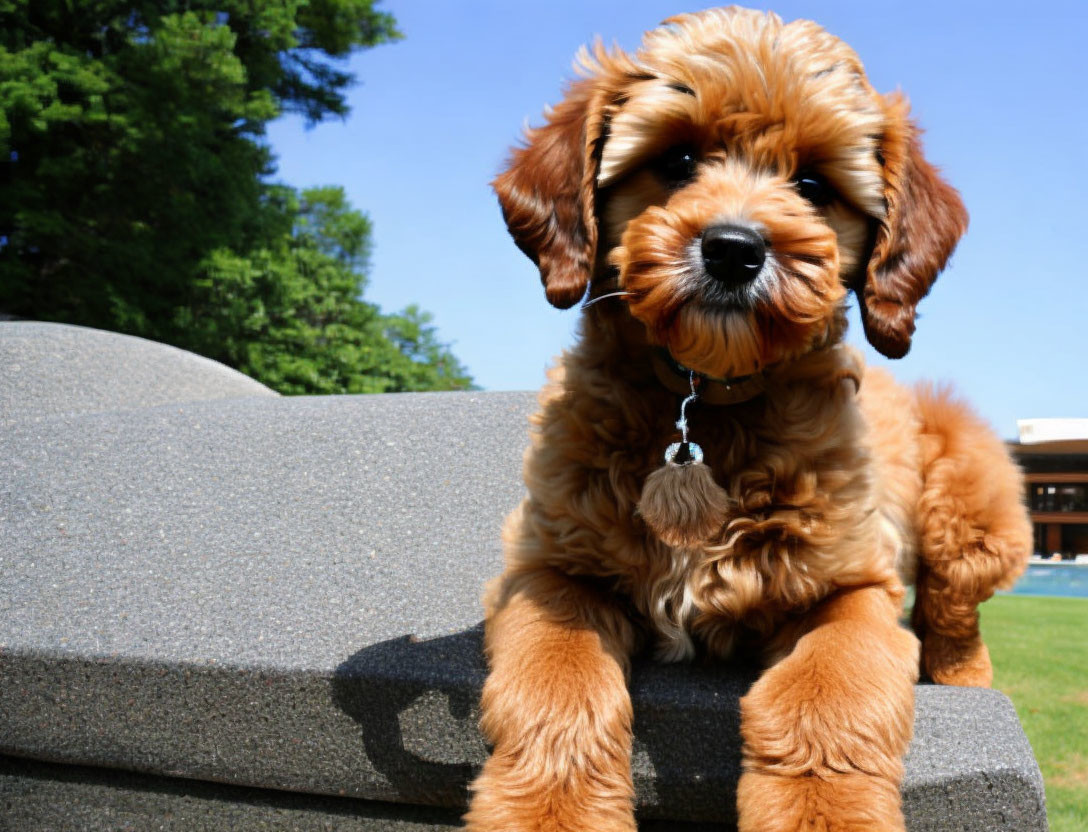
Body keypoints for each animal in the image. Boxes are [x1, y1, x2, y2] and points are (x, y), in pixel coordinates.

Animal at [463, 8, 1031, 830]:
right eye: (677, 158)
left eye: (813, 184)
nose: (734, 250)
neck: (702, 405)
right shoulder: (546, 567)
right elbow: (555, 681)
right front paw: (549, 810)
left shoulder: (852, 589)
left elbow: (828, 700)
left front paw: (826, 812)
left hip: (971, 506)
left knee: (955, 614)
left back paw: (961, 674)